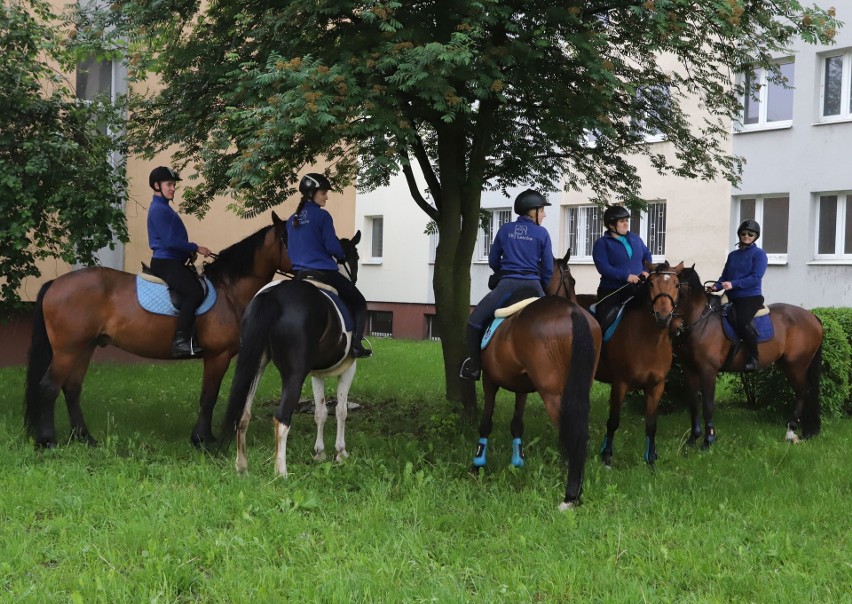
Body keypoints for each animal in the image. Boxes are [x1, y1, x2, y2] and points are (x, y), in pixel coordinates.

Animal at [23, 210, 292, 446]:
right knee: (49, 388)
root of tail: (55, 283)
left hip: (84, 348)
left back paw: (85, 438)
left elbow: (208, 397)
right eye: (287, 238)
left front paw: (204, 438)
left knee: (72, 388)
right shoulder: (218, 356)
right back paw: (48, 441)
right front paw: (202, 440)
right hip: (67, 350)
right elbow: (209, 397)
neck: (227, 291)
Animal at [216, 231, 362, 476]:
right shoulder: (349, 368)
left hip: (255, 365)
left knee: (243, 413)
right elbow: (341, 410)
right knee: (282, 418)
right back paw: (281, 473)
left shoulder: (317, 374)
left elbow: (321, 412)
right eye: (357, 257)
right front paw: (340, 453)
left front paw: (320, 453)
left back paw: (242, 467)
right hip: (294, 374)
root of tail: (272, 295)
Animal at [472, 250, 604, 510]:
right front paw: (517, 460)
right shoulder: (521, 387)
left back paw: (571, 493)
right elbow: (517, 423)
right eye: (571, 281)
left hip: (552, 393)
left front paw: (479, 461)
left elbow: (486, 421)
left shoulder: (489, 381)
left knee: (572, 431)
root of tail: (573, 311)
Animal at [576, 260, 684, 468]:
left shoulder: (656, 386)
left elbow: (651, 424)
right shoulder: (620, 384)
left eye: (676, 285)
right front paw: (606, 456)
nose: (663, 317)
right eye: (651, 284)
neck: (650, 341)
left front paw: (651, 460)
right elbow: (613, 421)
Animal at [668, 266, 824, 446]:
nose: (672, 327)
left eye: (680, 291)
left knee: (803, 391)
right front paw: (693, 439)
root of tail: (812, 316)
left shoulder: (708, 370)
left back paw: (791, 432)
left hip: (796, 365)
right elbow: (694, 404)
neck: (701, 320)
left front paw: (708, 440)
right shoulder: (689, 368)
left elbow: (707, 404)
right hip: (788, 364)